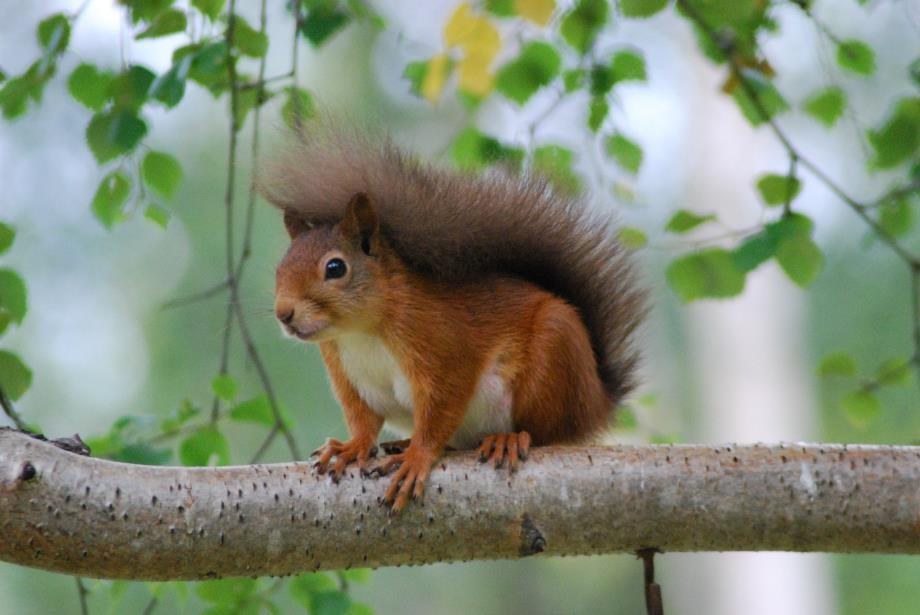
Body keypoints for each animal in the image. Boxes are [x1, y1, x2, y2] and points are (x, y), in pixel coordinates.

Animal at [261, 124, 645, 512]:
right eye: (280, 268)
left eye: (335, 268)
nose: (284, 313)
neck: (362, 332)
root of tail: (597, 400)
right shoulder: (347, 374)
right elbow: (363, 418)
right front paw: (352, 447)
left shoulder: (442, 347)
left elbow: (441, 408)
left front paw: (418, 457)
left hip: (554, 354)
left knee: (545, 432)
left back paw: (507, 438)